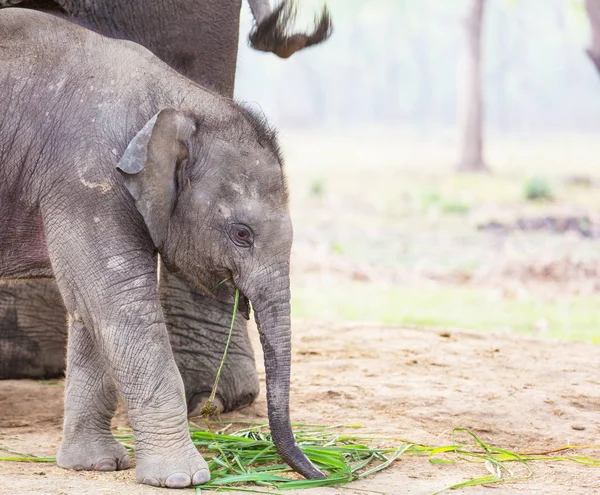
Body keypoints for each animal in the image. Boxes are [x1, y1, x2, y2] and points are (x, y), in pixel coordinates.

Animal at [0, 9, 324, 490]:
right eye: (241, 234)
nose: (322, 472)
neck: (177, 102)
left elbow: (89, 310)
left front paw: (97, 465)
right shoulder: (84, 178)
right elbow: (119, 303)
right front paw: (183, 479)